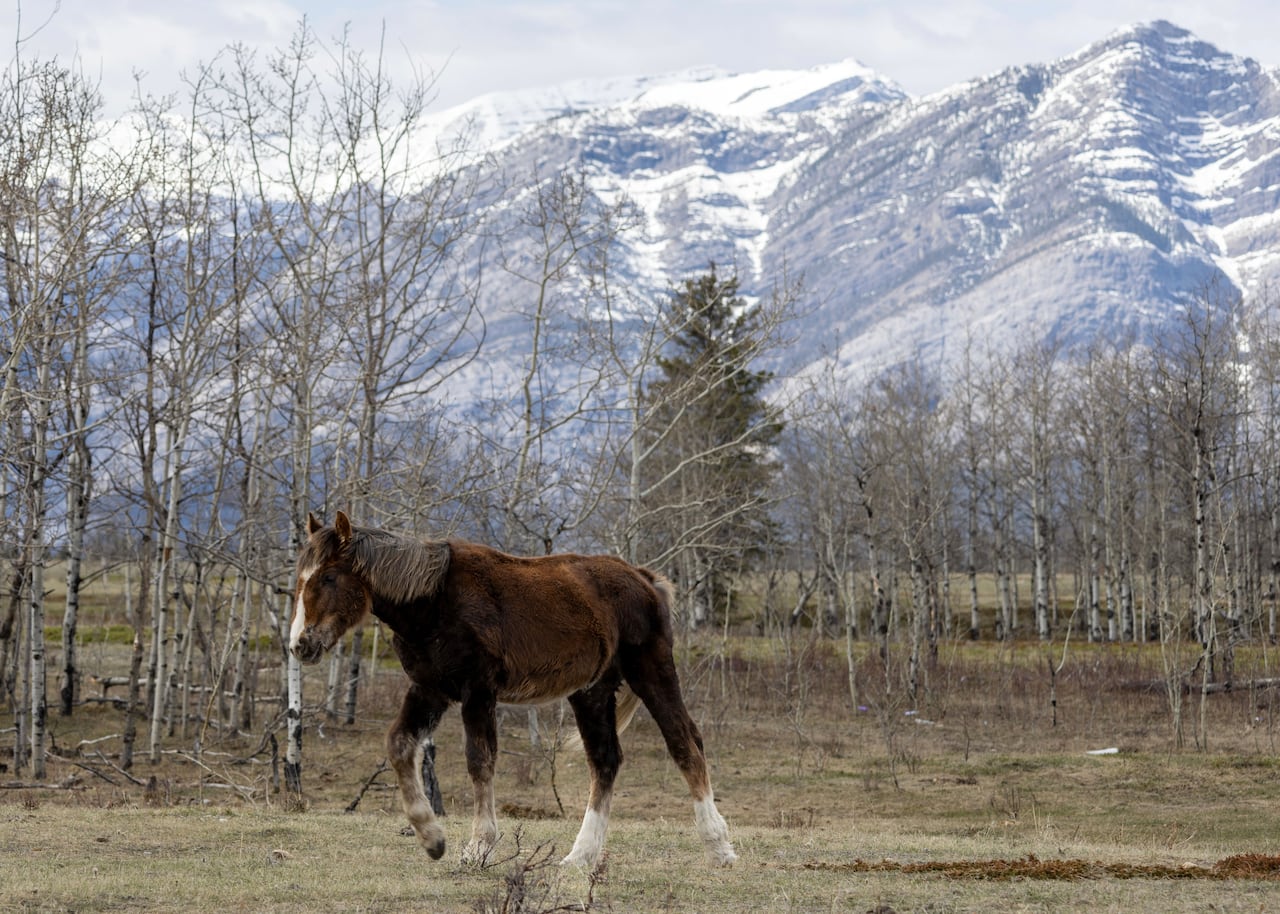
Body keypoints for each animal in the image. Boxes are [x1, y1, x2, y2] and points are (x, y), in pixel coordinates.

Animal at [288, 511, 736, 870]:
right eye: (299, 578)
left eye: (329, 577)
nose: (299, 644)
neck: (434, 601)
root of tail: (644, 579)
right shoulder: (431, 689)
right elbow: (399, 745)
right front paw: (432, 838)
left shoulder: (478, 691)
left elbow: (479, 761)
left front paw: (479, 847)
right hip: (591, 692)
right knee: (605, 761)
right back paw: (580, 856)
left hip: (652, 671)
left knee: (685, 745)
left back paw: (719, 848)